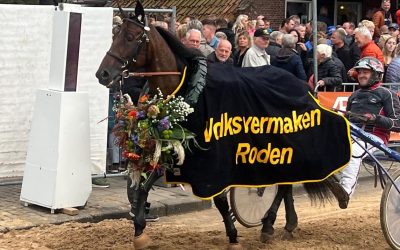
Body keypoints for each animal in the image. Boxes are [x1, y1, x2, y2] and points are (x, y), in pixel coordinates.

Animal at [95, 1, 342, 248]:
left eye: (130, 37)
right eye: (115, 35)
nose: (102, 73)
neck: (190, 87)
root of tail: (302, 86)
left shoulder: (211, 154)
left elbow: (221, 199)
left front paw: (233, 235)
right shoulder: (176, 144)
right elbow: (144, 186)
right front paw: (139, 229)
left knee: (284, 181)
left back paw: (270, 223)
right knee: (286, 182)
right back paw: (285, 223)